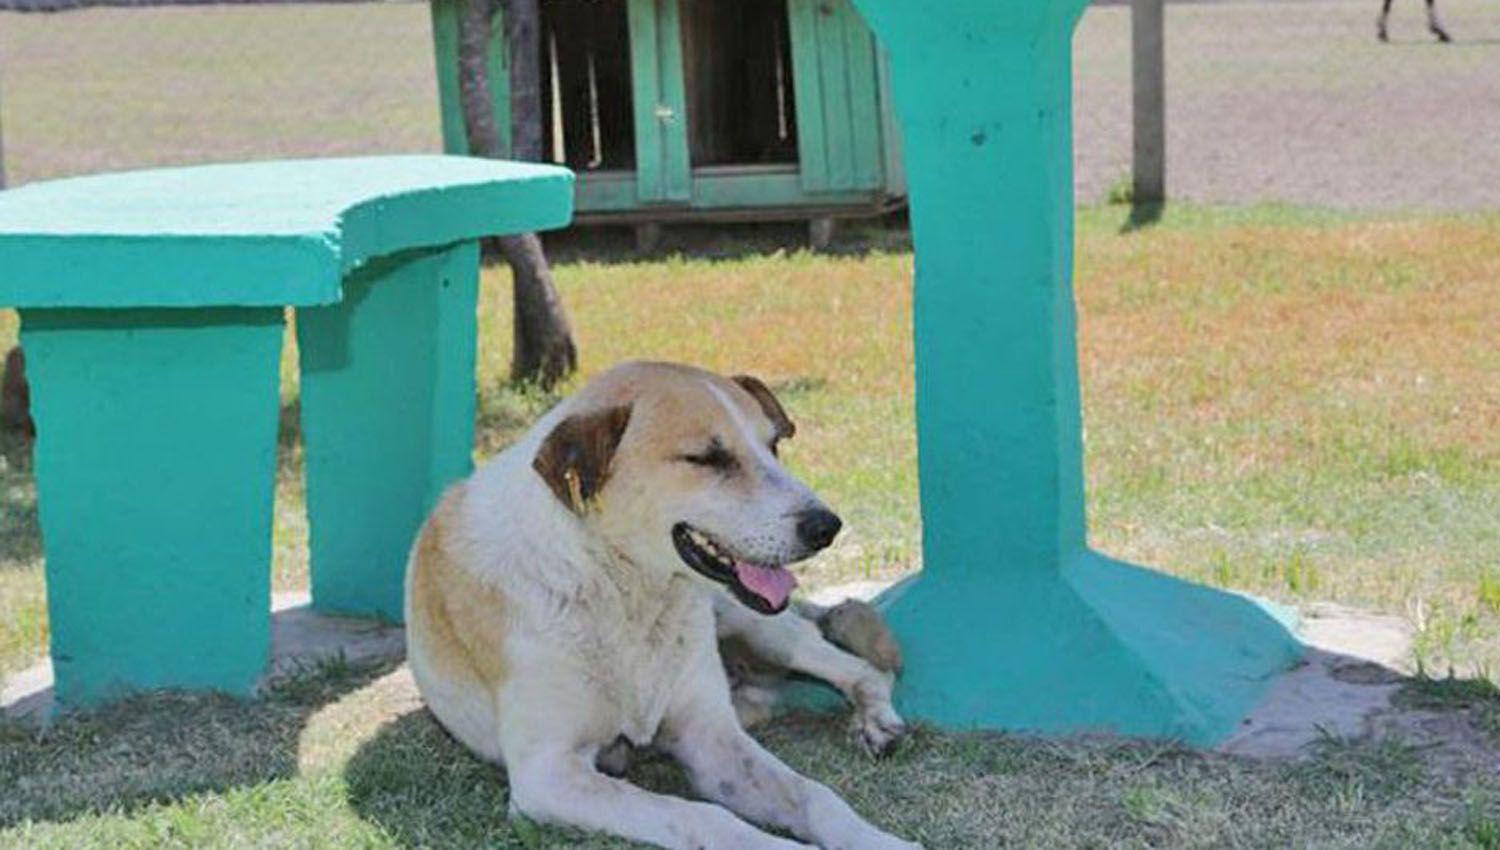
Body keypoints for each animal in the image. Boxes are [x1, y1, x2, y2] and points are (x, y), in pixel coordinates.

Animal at [405, 362, 918, 850]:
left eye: (773, 446)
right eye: (707, 458)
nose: (826, 526)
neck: (624, 588)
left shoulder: (711, 740)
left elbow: (815, 795)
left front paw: (880, 842)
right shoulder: (548, 776)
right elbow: (702, 815)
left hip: (753, 624)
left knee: (863, 669)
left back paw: (876, 721)